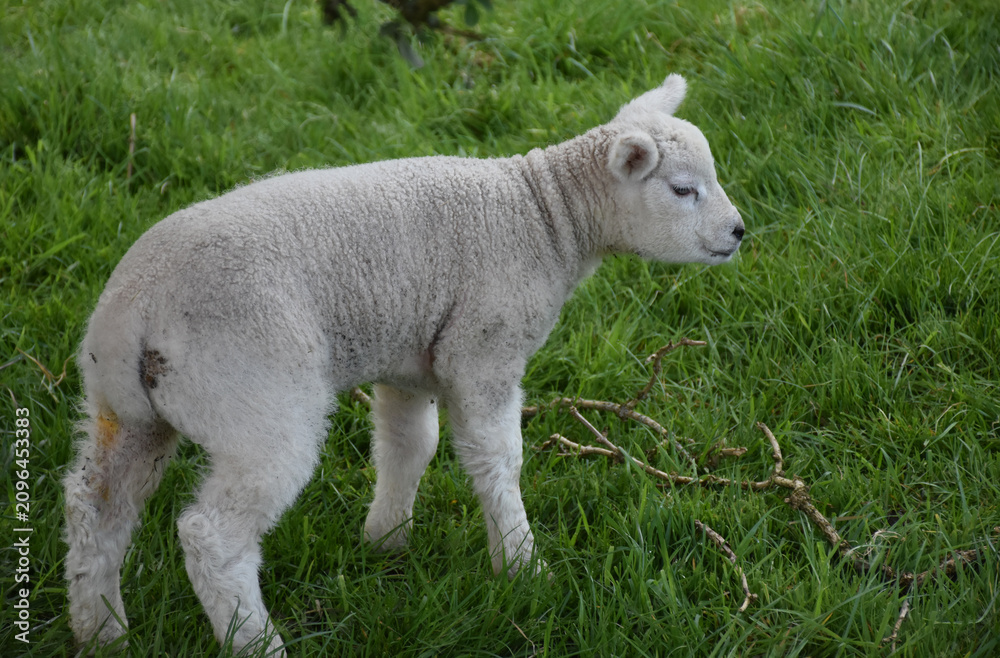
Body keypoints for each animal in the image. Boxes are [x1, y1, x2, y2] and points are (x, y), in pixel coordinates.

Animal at [64, 73, 744, 655]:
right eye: (683, 190)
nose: (740, 231)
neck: (544, 216)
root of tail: (138, 310)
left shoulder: (408, 358)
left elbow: (408, 447)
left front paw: (386, 541)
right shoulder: (484, 346)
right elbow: (498, 461)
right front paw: (522, 568)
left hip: (126, 408)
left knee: (94, 506)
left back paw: (102, 631)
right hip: (256, 397)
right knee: (212, 537)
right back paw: (255, 642)